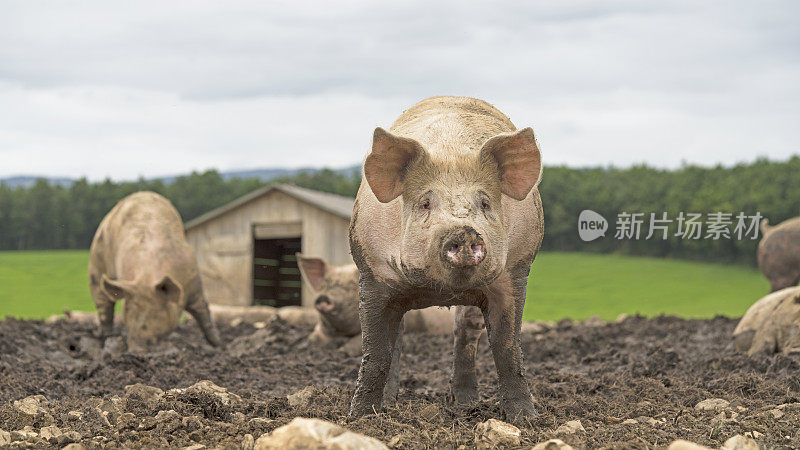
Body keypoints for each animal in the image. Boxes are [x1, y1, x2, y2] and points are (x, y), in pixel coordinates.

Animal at [89, 192, 220, 350]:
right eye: (128, 321)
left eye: (153, 315)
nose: (135, 350)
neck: (146, 277)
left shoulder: (194, 282)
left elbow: (204, 312)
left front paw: (218, 344)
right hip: (96, 263)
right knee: (103, 305)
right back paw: (107, 337)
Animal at [348, 96, 544, 420]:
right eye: (425, 202)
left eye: (485, 203)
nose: (464, 231)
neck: (440, 289)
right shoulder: (372, 272)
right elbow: (376, 351)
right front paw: (360, 417)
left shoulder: (515, 273)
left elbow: (507, 349)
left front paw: (525, 418)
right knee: (398, 340)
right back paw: (390, 403)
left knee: (465, 335)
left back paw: (465, 404)